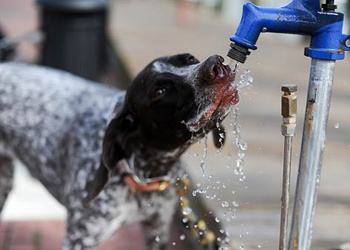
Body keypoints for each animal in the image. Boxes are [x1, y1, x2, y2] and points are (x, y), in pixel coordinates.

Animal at [0, 53, 238, 250]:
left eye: (190, 59)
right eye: (159, 91)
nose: (217, 64)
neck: (143, 172)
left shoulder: (157, 230)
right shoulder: (80, 240)